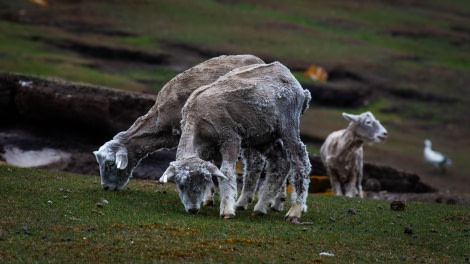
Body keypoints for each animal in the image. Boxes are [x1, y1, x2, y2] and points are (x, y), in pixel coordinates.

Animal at [161, 62, 312, 223]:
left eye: (203, 182)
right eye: (181, 186)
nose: (193, 210)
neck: (196, 123)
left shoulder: (230, 136)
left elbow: (226, 171)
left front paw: (227, 208)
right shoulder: (211, 148)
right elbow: (219, 172)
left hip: (288, 124)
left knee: (300, 161)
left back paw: (295, 210)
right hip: (264, 135)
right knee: (280, 162)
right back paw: (261, 206)